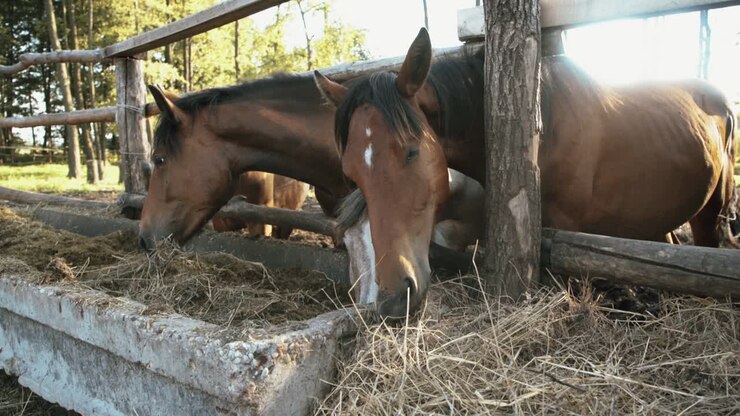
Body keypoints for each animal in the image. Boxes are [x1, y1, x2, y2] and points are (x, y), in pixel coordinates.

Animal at [314, 27, 738, 318]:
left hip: (710, 213)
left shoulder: (567, 239)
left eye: (411, 151)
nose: (391, 300)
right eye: (352, 173)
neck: (543, 127)